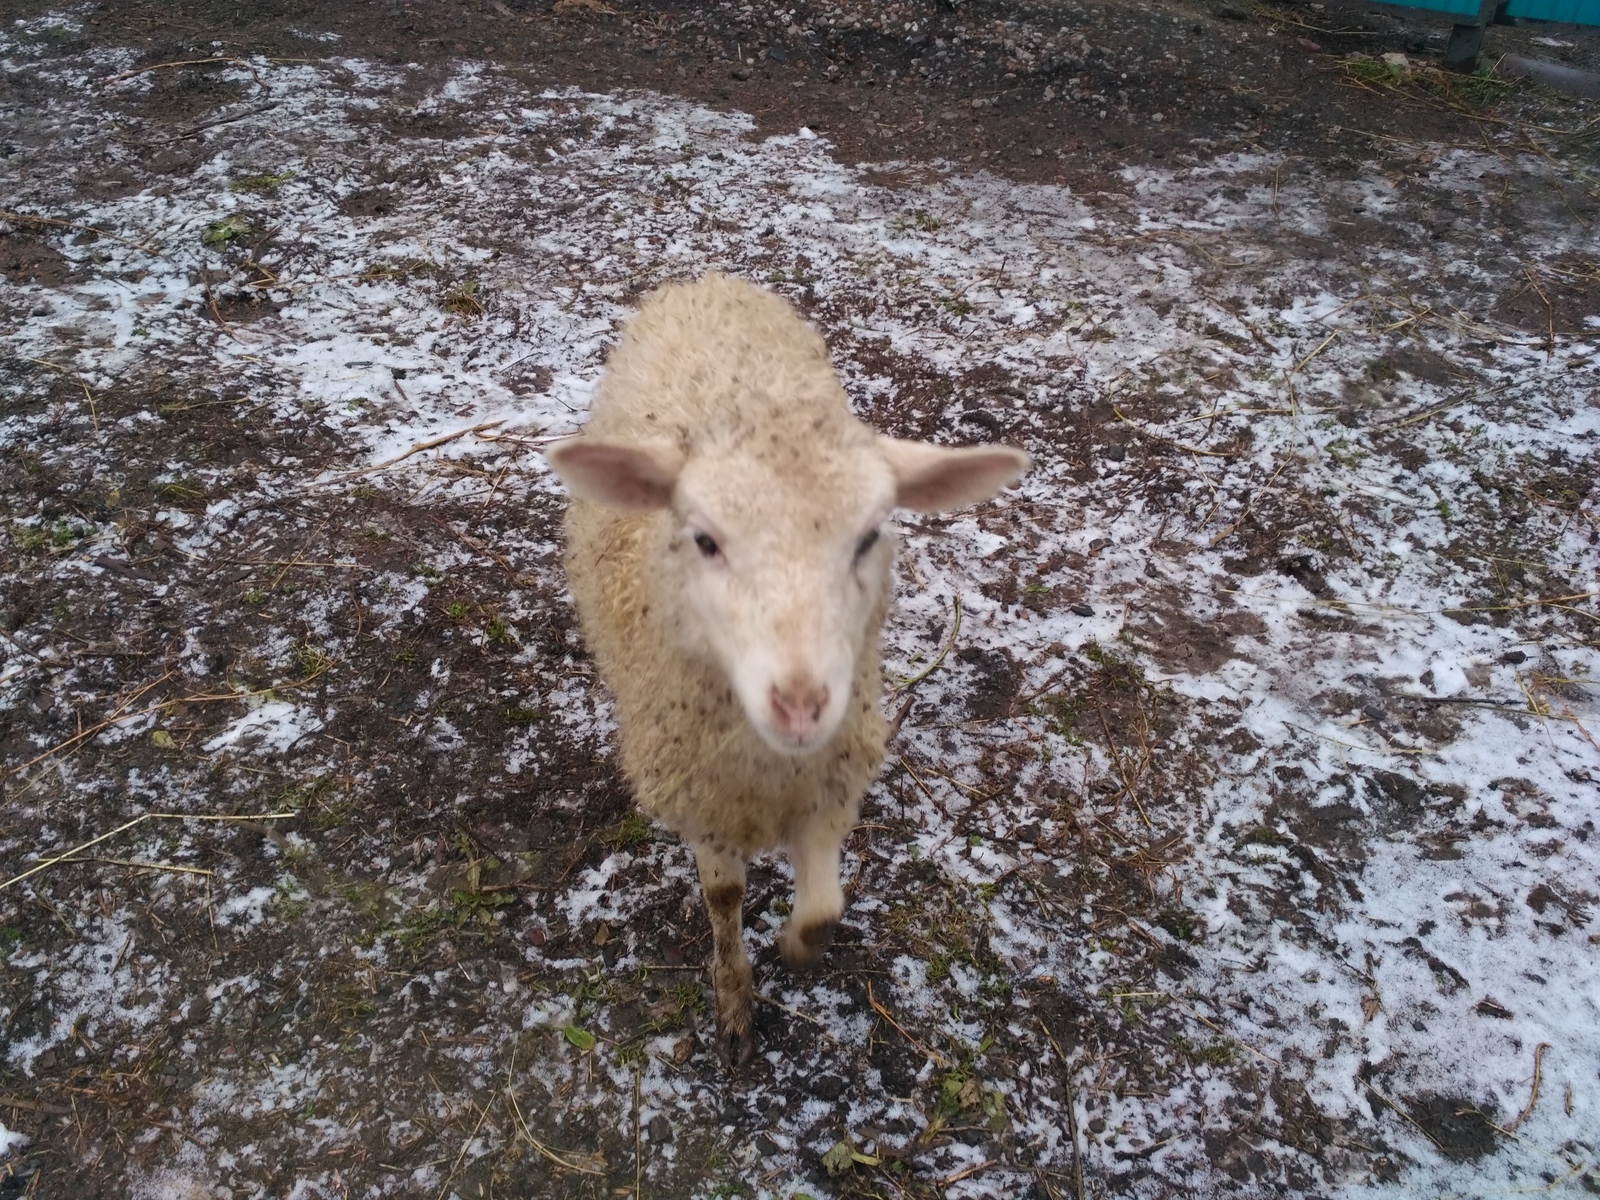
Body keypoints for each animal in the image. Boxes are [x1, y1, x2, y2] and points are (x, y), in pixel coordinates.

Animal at [547, 276, 1024, 1068]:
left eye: (869, 536)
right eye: (704, 540)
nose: (801, 706)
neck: (770, 771)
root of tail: (708, 277)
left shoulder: (833, 775)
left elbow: (826, 907)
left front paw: (797, 949)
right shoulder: (705, 796)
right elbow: (723, 901)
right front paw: (735, 1000)